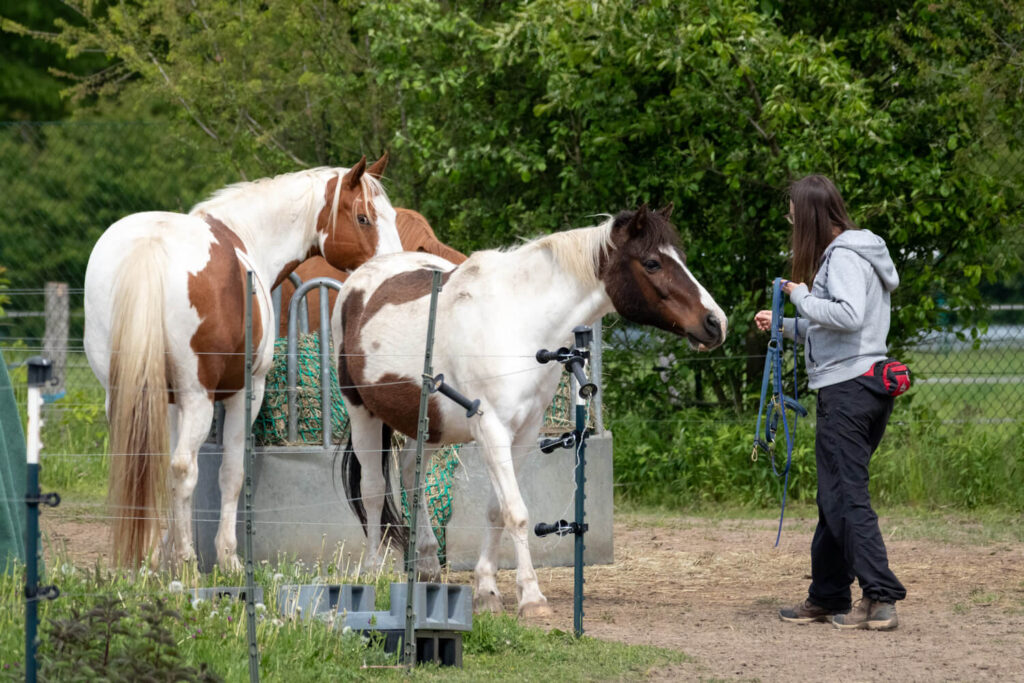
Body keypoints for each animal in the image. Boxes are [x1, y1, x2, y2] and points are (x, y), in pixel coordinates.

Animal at [83, 154, 402, 572]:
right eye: (364, 217)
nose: (394, 271)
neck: (246, 238)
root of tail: (150, 246)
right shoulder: (244, 392)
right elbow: (231, 473)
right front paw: (226, 556)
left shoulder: (168, 401)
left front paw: (162, 552)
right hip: (199, 398)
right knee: (184, 468)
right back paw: (188, 562)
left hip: (125, 394)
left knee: (143, 463)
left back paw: (142, 561)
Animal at [332, 204, 727, 616]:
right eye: (652, 262)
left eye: (680, 258)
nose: (716, 323)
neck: (519, 322)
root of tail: (359, 280)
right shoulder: (491, 430)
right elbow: (517, 513)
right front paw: (532, 598)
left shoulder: (523, 435)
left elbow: (497, 510)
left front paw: (487, 590)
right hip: (361, 411)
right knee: (373, 490)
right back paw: (372, 573)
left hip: (429, 424)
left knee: (412, 474)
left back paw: (425, 565)